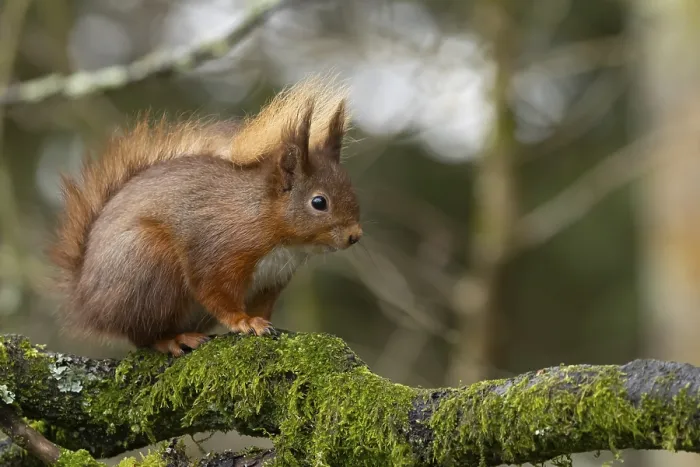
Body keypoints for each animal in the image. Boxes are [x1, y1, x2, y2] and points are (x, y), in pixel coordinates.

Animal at [49, 76, 363, 356]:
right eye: (319, 202)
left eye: (352, 188)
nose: (355, 236)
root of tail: (87, 304)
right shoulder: (218, 251)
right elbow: (216, 292)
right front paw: (244, 322)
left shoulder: (271, 282)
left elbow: (262, 306)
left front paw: (262, 322)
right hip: (149, 262)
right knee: (143, 335)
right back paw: (173, 340)